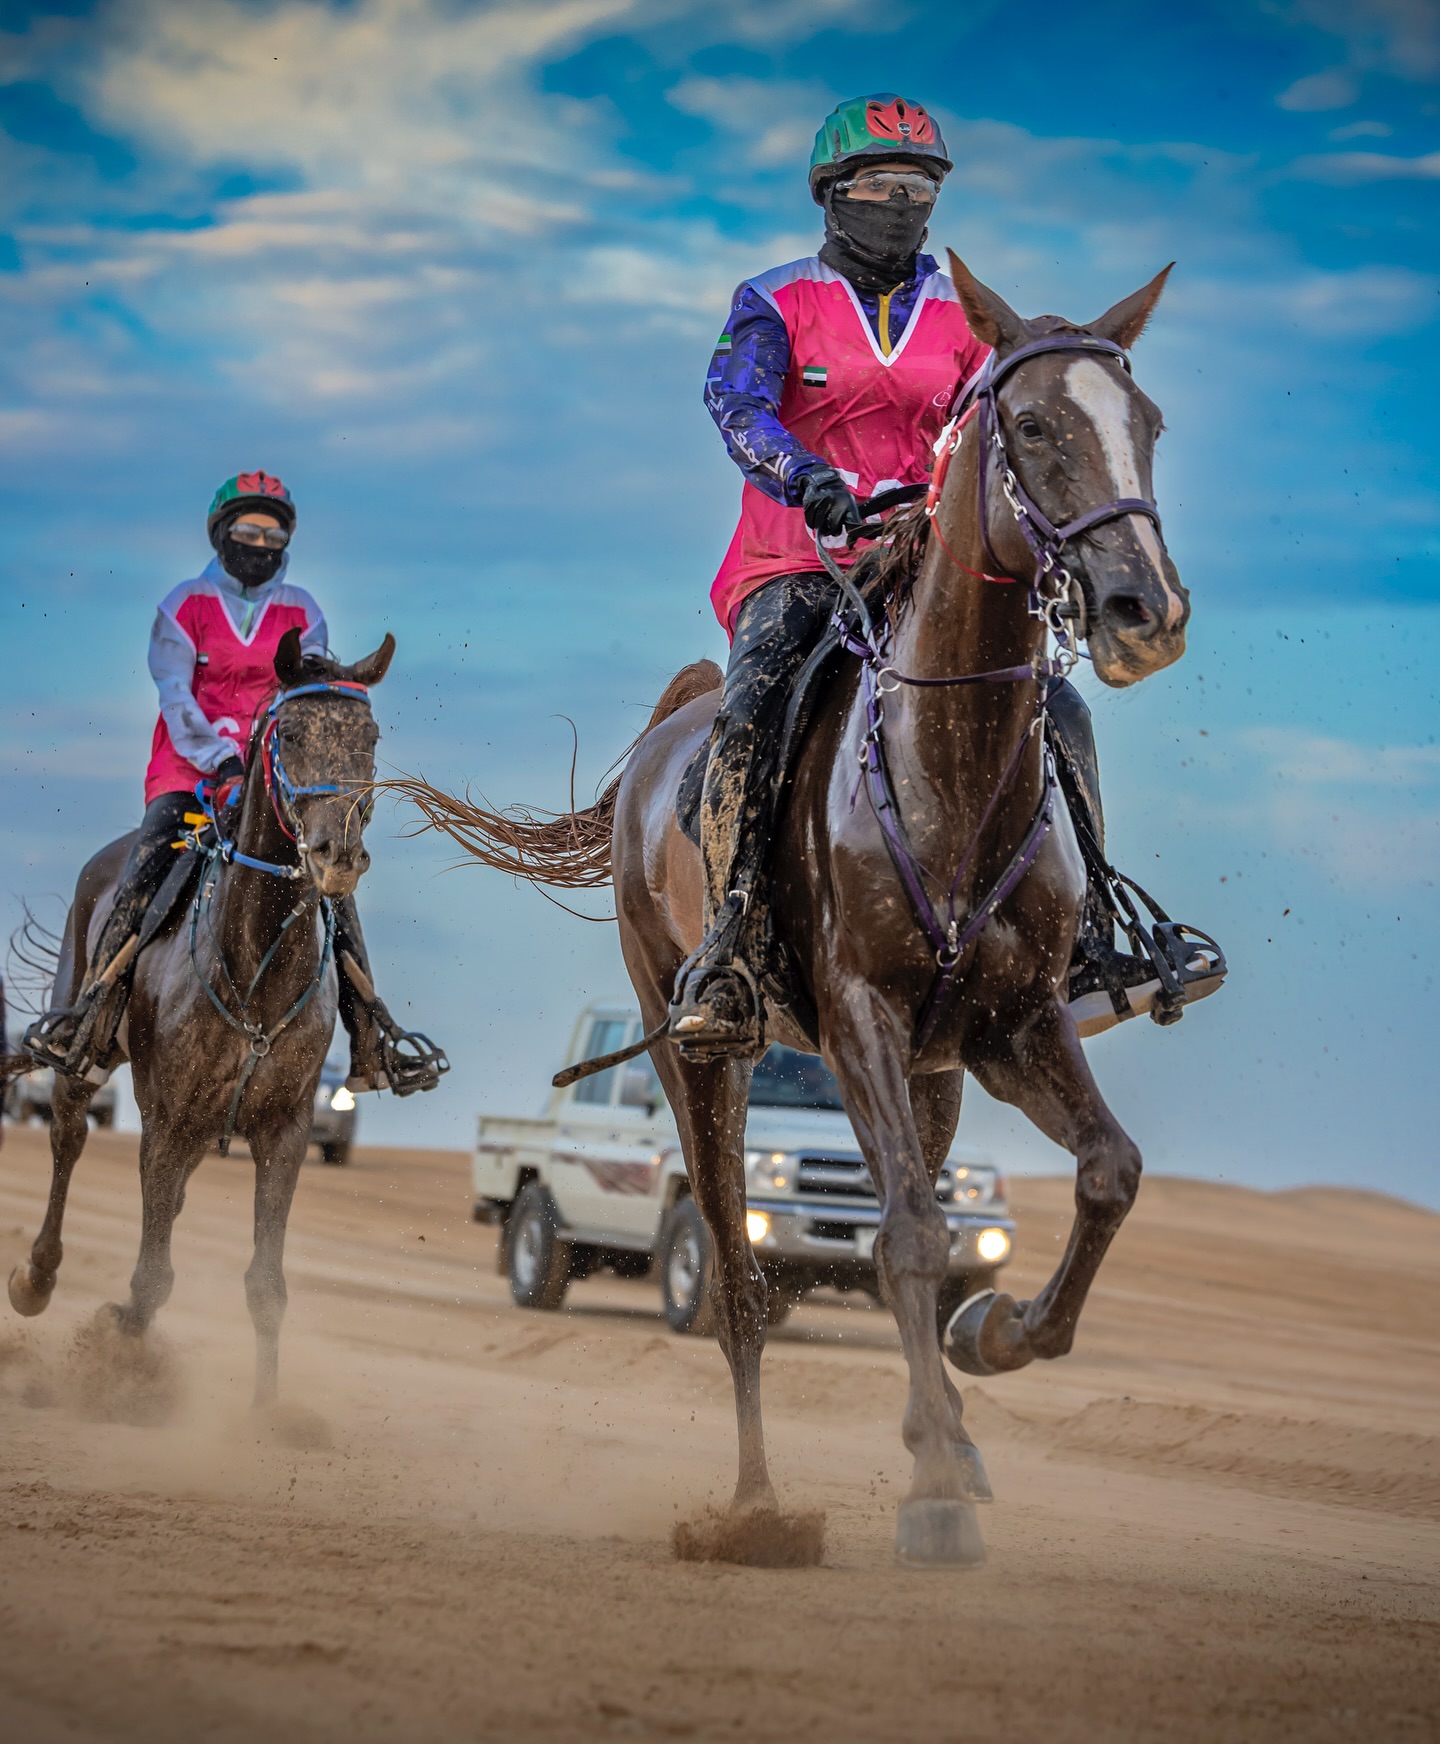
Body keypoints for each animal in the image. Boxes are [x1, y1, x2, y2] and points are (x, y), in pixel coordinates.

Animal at [8, 630, 394, 1408]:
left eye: (369, 737)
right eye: (291, 733)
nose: (336, 853)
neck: (253, 970)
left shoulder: (285, 1130)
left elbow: (266, 1286)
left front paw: (264, 1412)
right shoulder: (167, 1120)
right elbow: (152, 1277)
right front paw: (120, 1350)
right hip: (83, 1057)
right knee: (67, 1137)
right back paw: (36, 1278)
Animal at [400, 256, 1189, 1566]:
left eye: (1151, 424)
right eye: (1033, 426)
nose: (1146, 609)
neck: (947, 765)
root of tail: (663, 738)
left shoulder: (1015, 1023)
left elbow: (1104, 1175)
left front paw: (995, 1338)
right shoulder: (859, 1013)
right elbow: (907, 1233)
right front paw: (932, 1494)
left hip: (936, 1071)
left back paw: (944, 1423)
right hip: (701, 1061)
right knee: (739, 1281)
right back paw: (760, 1504)